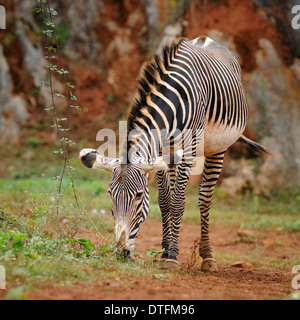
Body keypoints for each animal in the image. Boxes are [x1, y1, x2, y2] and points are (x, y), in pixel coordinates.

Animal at [78, 36, 276, 272]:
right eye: (110, 194)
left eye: (138, 195)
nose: (121, 253)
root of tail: (206, 40)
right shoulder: (159, 153)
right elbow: (165, 201)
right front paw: (166, 252)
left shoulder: (188, 151)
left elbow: (179, 202)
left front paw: (171, 256)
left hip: (218, 147)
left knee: (204, 198)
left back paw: (208, 257)